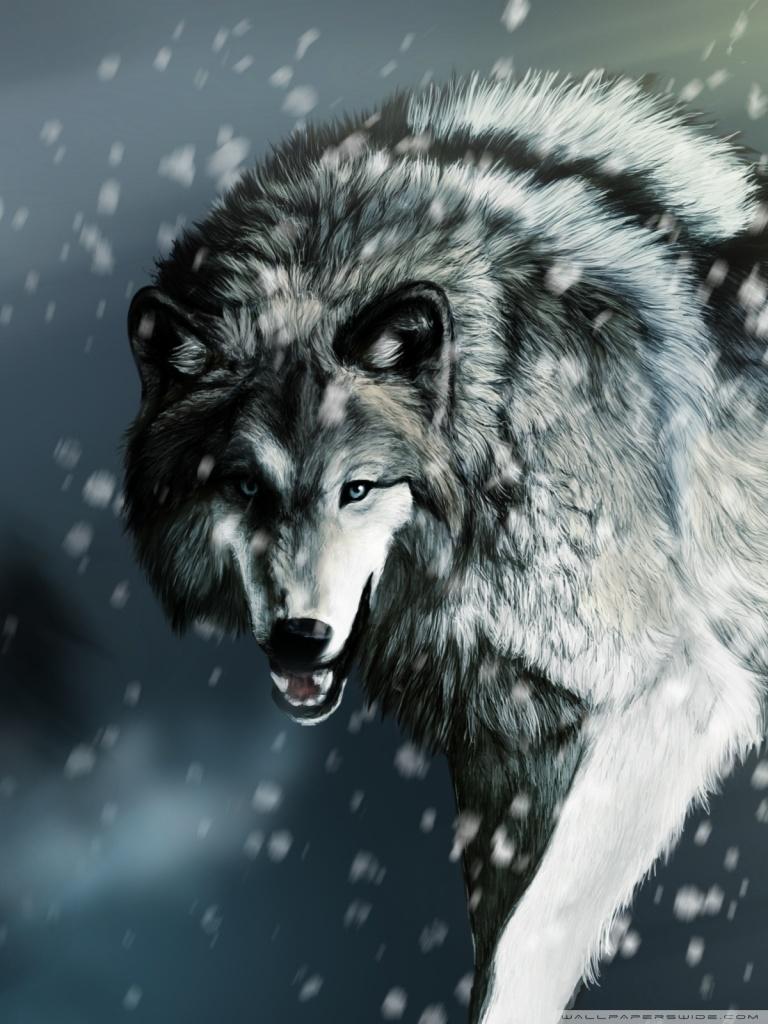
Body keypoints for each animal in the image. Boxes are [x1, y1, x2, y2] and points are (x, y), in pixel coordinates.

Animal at [122, 71, 768, 1023]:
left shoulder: (670, 692)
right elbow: (499, 932)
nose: (298, 641)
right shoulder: (505, 749)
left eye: (358, 488)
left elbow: (532, 940)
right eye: (243, 486)